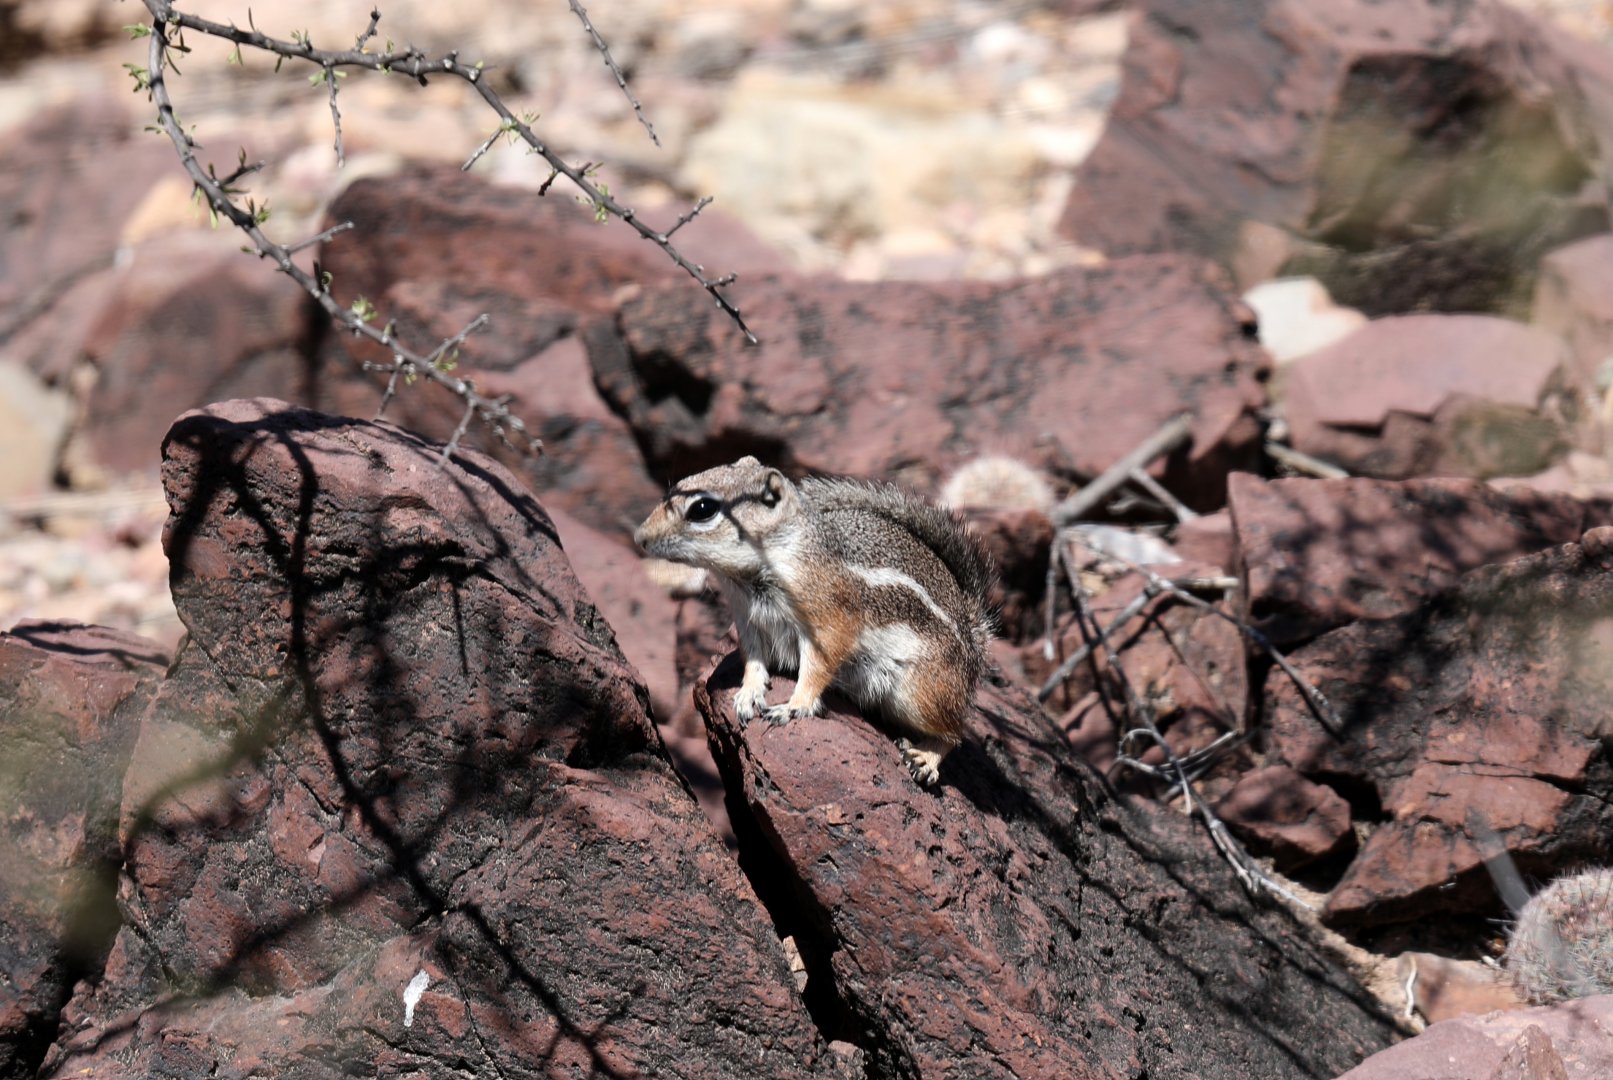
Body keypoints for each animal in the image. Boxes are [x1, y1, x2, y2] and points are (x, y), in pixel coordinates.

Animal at [634, 456, 996, 785]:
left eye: (703, 508)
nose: (639, 537)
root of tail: (974, 638)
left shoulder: (830, 621)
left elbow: (817, 668)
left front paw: (794, 706)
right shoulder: (750, 623)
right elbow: (754, 661)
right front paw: (748, 693)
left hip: (918, 694)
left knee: (955, 733)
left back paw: (926, 758)